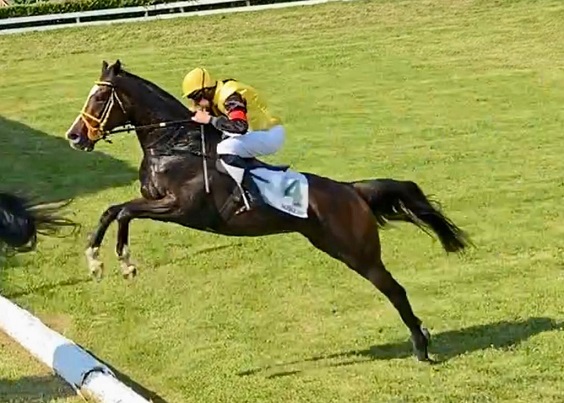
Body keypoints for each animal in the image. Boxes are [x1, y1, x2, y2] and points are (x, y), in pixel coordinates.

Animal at [64, 60, 474, 362]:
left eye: (99, 98)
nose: (74, 136)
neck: (174, 143)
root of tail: (350, 190)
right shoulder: (157, 203)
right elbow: (113, 210)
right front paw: (101, 260)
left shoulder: (180, 207)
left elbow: (122, 212)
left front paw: (119, 262)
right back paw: (423, 336)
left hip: (358, 253)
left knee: (395, 289)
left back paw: (421, 346)